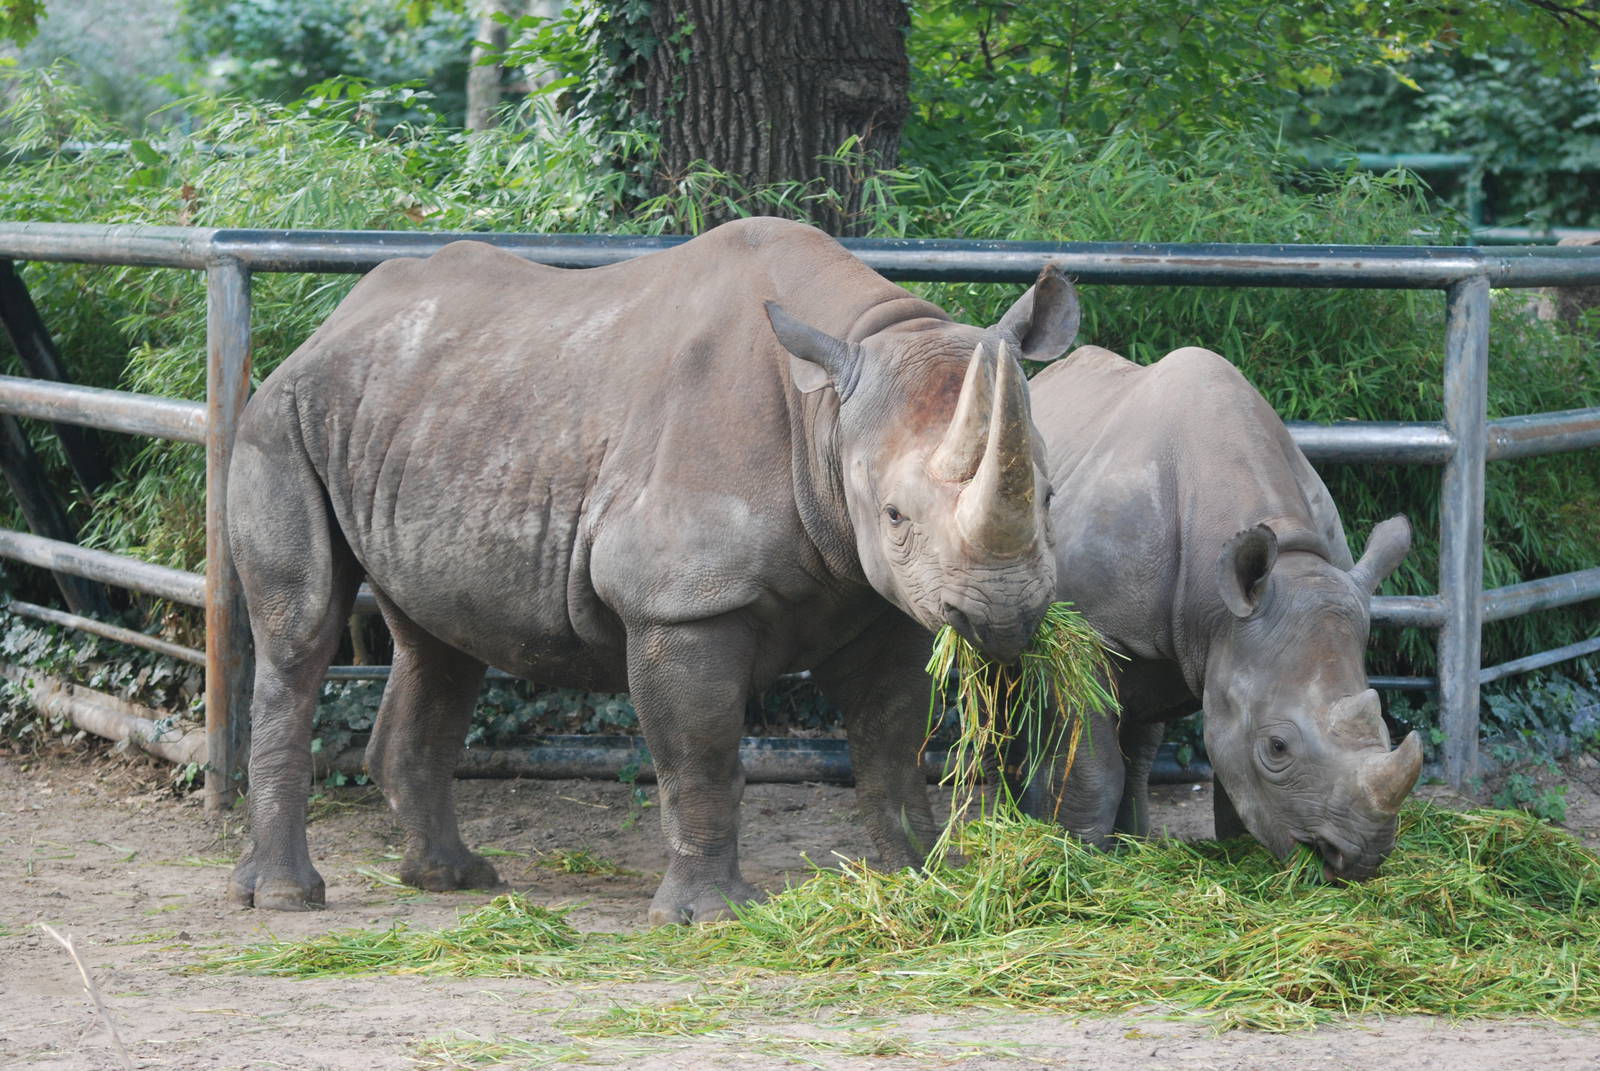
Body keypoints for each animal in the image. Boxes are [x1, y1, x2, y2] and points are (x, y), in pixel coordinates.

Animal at [224, 216, 1080, 923]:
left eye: (1048, 494)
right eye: (897, 515)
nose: (1003, 614)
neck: (828, 413)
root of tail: (328, 327)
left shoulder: (880, 599)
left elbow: (890, 738)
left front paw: (919, 876)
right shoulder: (681, 600)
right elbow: (701, 751)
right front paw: (710, 917)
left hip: (420, 417)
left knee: (439, 643)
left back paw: (452, 878)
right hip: (279, 419)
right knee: (300, 630)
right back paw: (287, 897)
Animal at [999, 344, 1424, 881]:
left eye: (1386, 727)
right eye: (1277, 748)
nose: (1360, 859)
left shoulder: (1235, 641)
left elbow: (1231, 776)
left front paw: (1242, 852)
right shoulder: (1087, 633)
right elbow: (1093, 765)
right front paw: (1082, 859)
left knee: (1140, 734)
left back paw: (1132, 843)